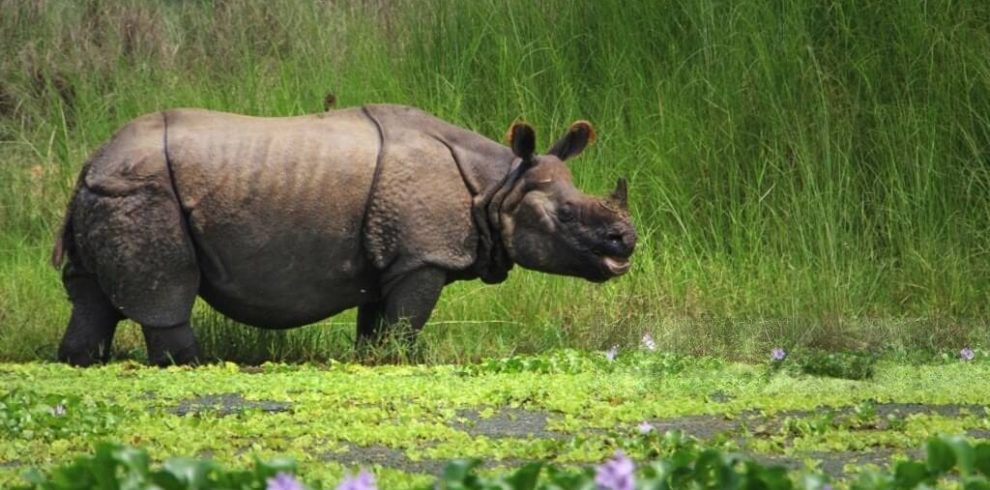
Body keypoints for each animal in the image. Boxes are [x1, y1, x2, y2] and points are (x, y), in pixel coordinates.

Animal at [52, 104, 636, 366]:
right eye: (567, 216)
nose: (625, 242)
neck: (498, 185)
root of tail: (90, 163)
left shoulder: (392, 259)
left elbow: (378, 326)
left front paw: (373, 361)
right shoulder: (423, 257)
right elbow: (406, 327)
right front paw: (402, 363)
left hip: (109, 193)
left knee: (90, 298)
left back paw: (79, 362)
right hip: (145, 193)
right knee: (166, 298)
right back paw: (192, 366)